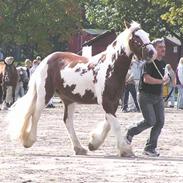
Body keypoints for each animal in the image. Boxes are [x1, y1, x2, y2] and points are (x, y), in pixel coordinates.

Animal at [8, 21, 157, 156]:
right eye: (136, 38)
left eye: (147, 35)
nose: (152, 52)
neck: (110, 68)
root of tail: (45, 61)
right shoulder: (106, 101)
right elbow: (115, 124)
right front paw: (125, 150)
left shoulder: (114, 102)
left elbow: (109, 123)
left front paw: (93, 143)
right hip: (44, 95)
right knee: (35, 115)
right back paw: (28, 141)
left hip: (69, 99)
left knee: (67, 121)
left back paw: (79, 148)